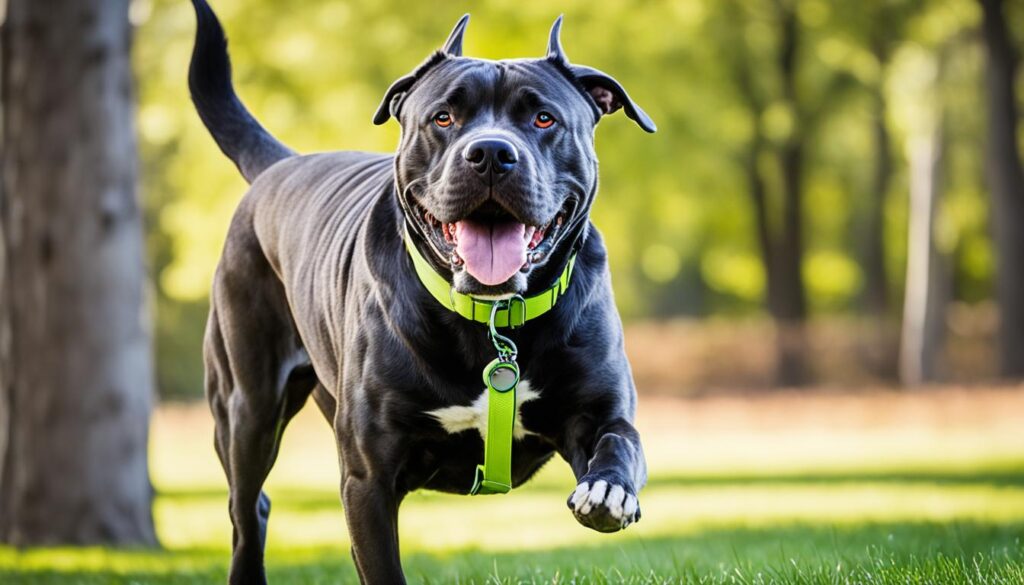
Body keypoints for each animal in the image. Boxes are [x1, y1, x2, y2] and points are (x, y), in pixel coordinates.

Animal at [189, 0, 655, 581]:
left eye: (544, 118)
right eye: (443, 118)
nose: (491, 153)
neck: (492, 319)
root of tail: (281, 165)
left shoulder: (600, 410)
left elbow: (620, 441)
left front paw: (609, 491)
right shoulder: (368, 478)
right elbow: (382, 564)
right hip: (245, 406)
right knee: (246, 509)